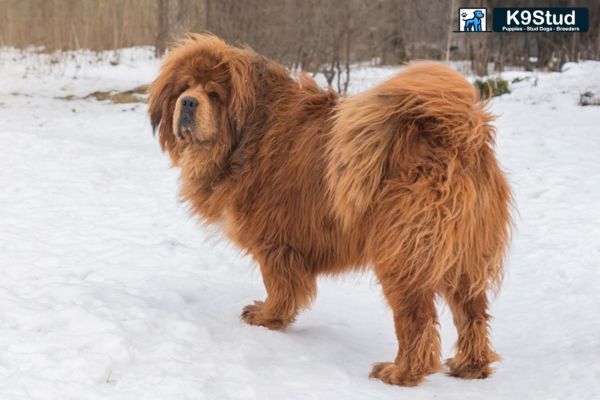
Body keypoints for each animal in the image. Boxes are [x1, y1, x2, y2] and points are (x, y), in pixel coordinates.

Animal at [149, 35, 510, 388]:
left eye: (214, 94)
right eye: (183, 89)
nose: (189, 103)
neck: (247, 132)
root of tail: (458, 134)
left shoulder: (274, 241)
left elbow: (279, 285)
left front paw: (268, 317)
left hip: (402, 255)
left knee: (418, 321)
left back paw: (401, 372)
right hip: (464, 259)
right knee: (473, 315)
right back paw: (470, 366)